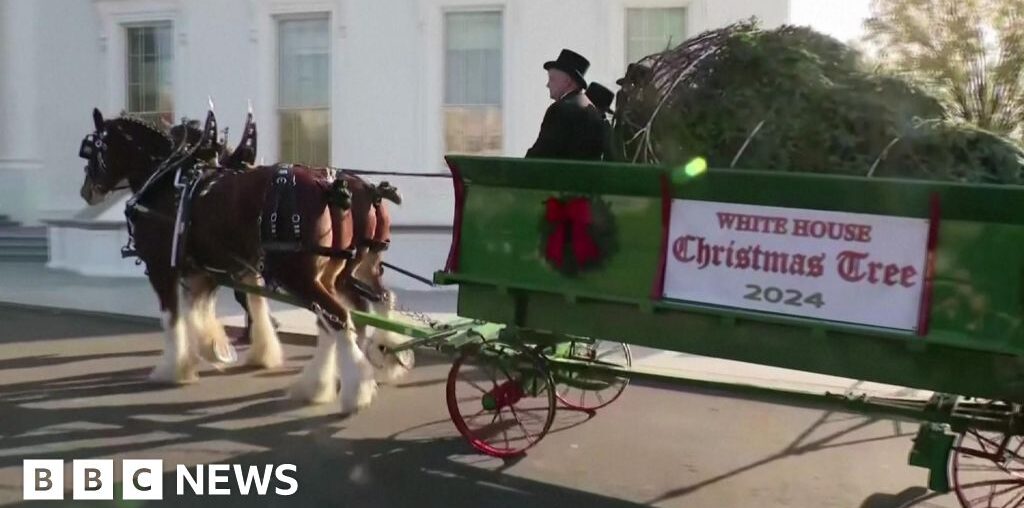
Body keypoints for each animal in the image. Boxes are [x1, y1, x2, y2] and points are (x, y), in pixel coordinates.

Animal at [76, 109, 387, 413]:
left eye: (93, 149)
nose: (86, 191)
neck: (167, 181)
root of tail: (330, 185)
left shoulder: (161, 265)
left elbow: (173, 317)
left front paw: (174, 367)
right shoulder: (206, 269)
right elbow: (208, 309)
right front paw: (215, 348)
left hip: (297, 274)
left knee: (339, 317)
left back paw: (354, 389)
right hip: (328, 274)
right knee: (342, 317)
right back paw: (320, 384)